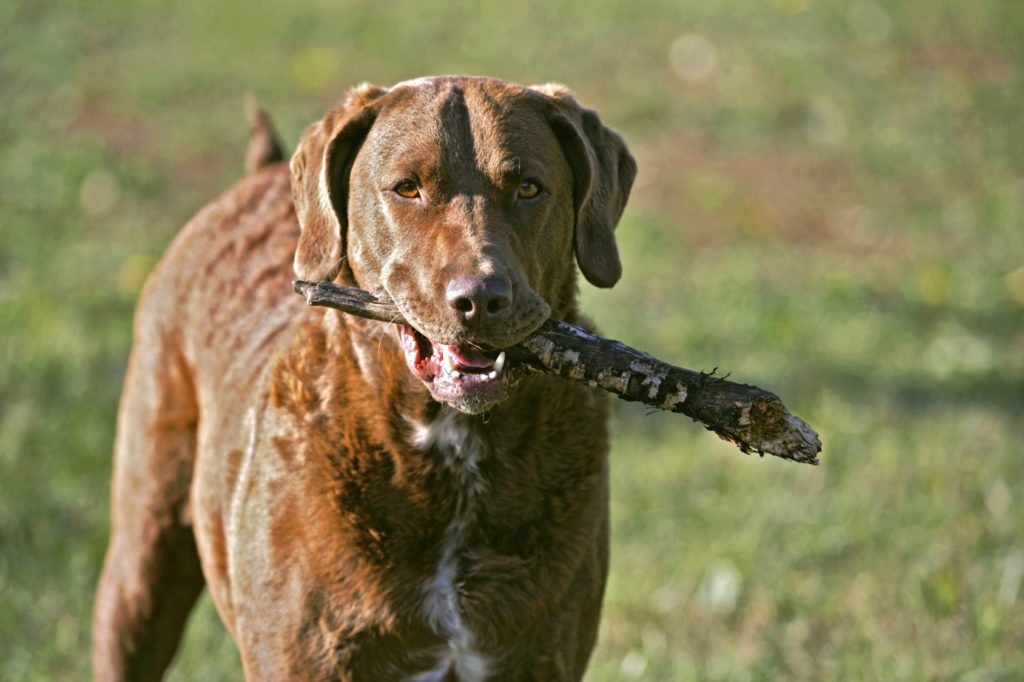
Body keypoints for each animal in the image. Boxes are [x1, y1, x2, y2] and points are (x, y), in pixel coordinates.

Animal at [96, 75, 634, 679]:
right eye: (407, 189)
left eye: (528, 188)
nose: (480, 298)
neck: (453, 455)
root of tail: (260, 175)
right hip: (144, 553)